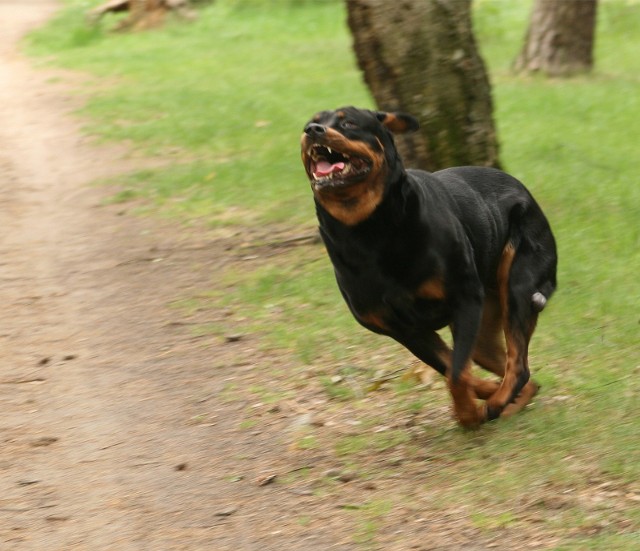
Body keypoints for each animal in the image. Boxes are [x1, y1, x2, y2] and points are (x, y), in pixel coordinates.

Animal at [300, 106, 556, 426]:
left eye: (348, 123)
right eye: (309, 123)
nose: (313, 131)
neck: (368, 232)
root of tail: (523, 191)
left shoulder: (464, 299)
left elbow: (456, 374)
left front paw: (469, 414)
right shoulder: (404, 330)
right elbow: (453, 370)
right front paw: (477, 401)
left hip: (517, 287)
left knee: (519, 366)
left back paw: (496, 404)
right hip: (485, 330)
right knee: (522, 374)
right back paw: (503, 404)